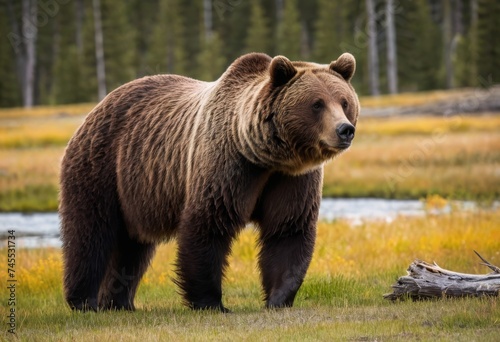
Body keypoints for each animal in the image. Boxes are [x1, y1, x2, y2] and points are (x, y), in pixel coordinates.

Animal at [59, 52, 360, 312]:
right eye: (317, 103)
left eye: (344, 101)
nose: (345, 129)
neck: (266, 157)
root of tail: (98, 106)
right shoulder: (226, 165)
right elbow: (208, 225)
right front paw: (212, 302)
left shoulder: (291, 179)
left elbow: (288, 230)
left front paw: (278, 299)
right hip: (101, 168)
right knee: (91, 233)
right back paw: (84, 301)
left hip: (136, 193)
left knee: (132, 248)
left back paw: (119, 303)